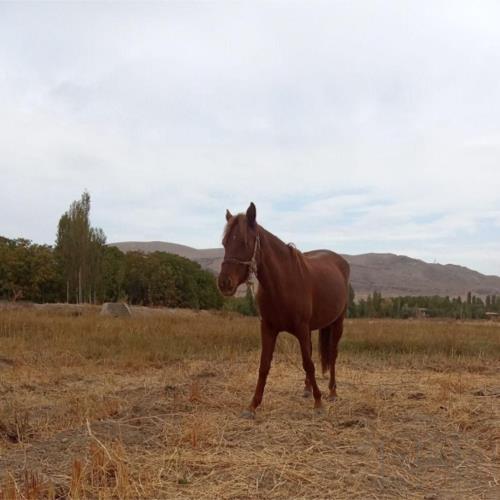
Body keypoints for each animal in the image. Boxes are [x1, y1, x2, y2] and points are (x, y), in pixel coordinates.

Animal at [217, 202, 350, 418]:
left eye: (245, 242)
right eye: (224, 243)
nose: (224, 283)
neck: (282, 283)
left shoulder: (302, 329)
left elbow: (308, 364)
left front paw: (319, 402)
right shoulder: (268, 329)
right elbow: (264, 365)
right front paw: (253, 405)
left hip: (337, 323)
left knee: (332, 354)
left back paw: (332, 392)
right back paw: (307, 389)